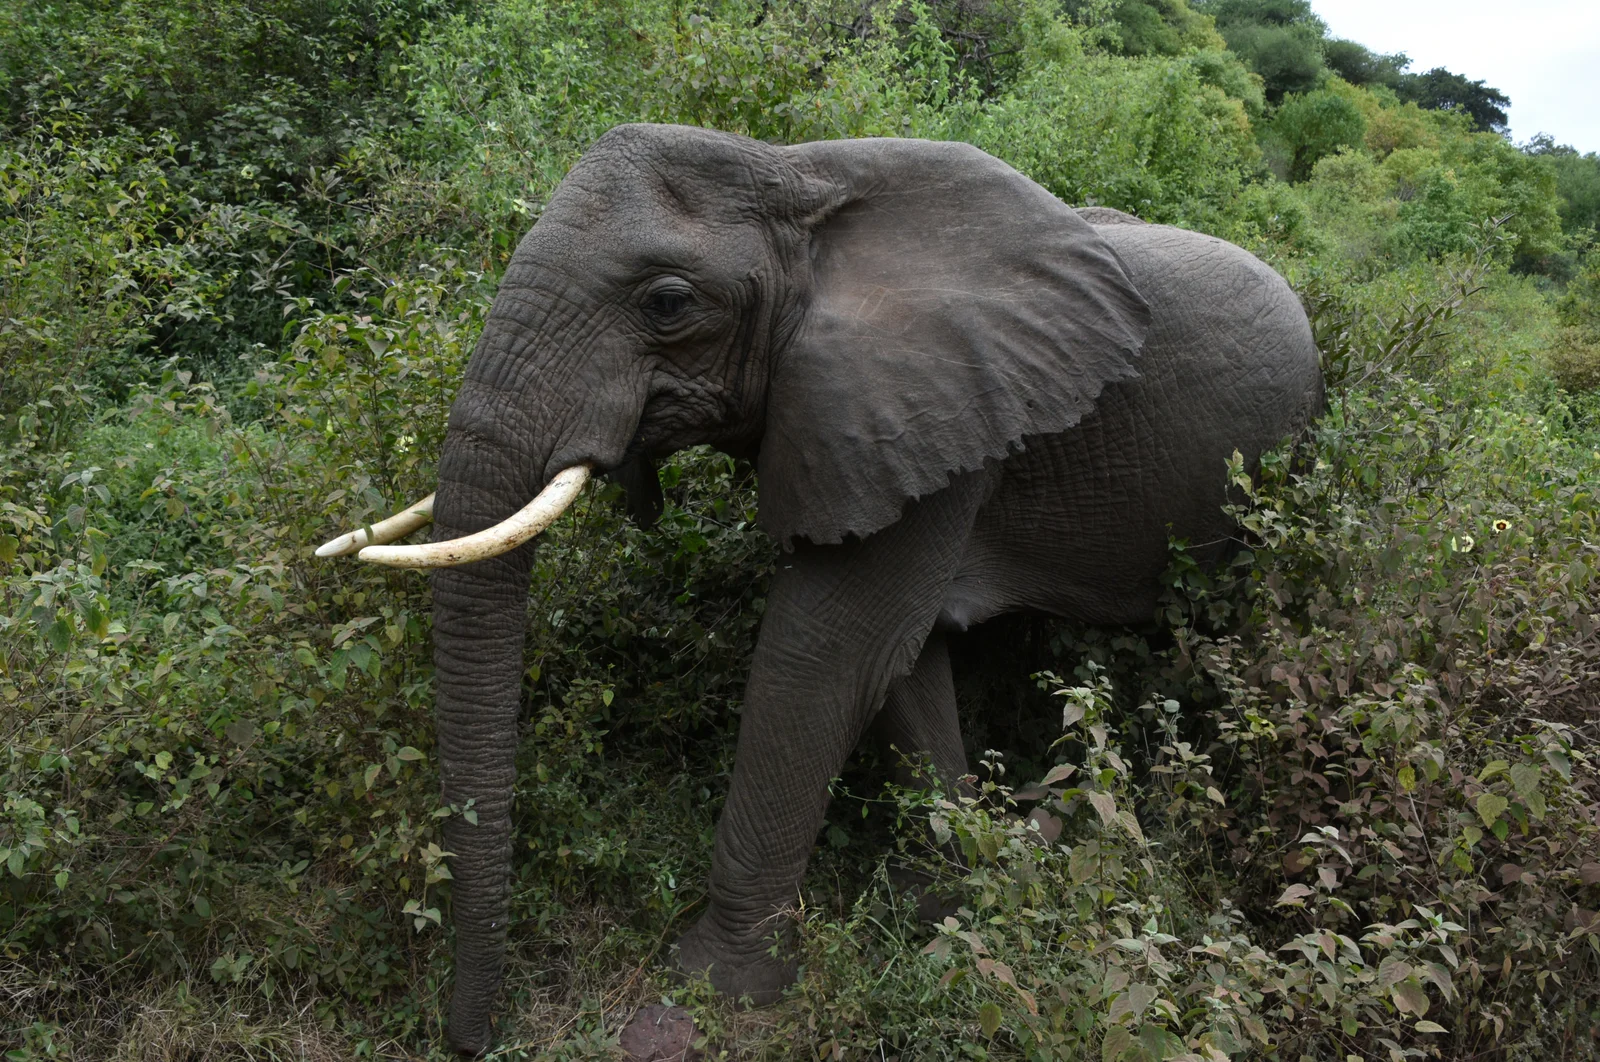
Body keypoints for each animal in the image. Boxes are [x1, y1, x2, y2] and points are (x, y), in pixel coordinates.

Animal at [316, 123, 1323, 1053]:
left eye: (668, 302)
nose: (475, 1040)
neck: (797, 171)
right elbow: (902, 660)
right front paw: (946, 892)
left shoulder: (936, 413)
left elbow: (823, 657)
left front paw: (717, 989)